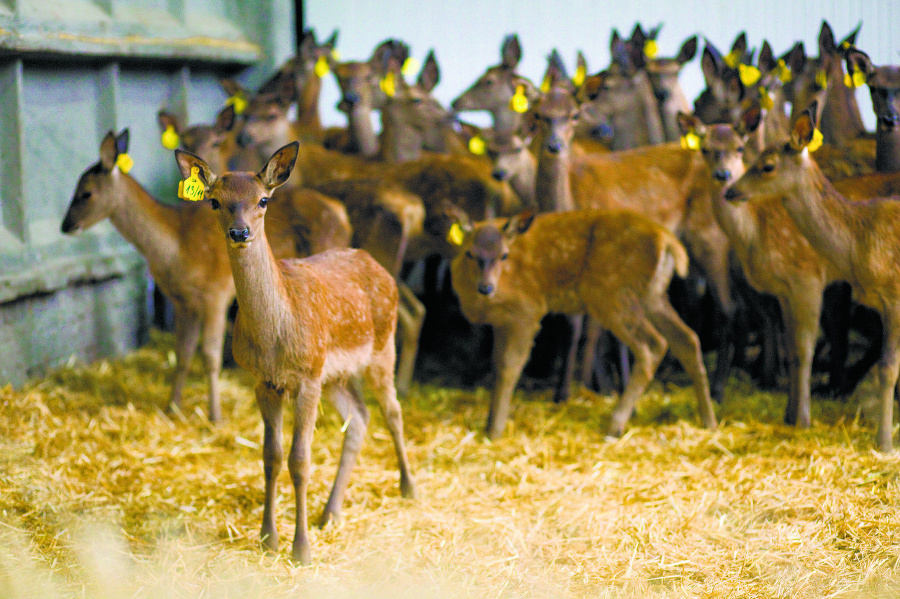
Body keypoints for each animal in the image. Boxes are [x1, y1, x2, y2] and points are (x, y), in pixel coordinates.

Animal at [174, 143, 416, 564]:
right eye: (215, 201)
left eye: (263, 200)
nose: (240, 232)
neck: (274, 337)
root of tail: (374, 263)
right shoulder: (264, 381)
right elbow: (270, 456)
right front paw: (267, 537)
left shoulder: (306, 377)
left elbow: (299, 460)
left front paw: (300, 548)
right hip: (334, 375)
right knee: (360, 417)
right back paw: (330, 512)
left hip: (380, 349)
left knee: (393, 411)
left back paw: (408, 488)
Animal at [450, 209, 716, 438]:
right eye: (469, 253)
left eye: (504, 254)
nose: (486, 288)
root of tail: (668, 241)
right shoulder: (500, 322)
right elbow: (496, 365)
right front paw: (489, 424)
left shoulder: (527, 309)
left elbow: (509, 366)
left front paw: (494, 431)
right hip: (652, 294)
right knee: (687, 338)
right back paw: (709, 420)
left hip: (608, 290)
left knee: (653, 343)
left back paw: (615, 424)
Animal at [724, 103, 900, 452]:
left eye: (767, 165)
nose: (730, 191)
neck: (859, 241)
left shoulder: (895, 298)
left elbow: (887, 368)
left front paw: (884, 443)